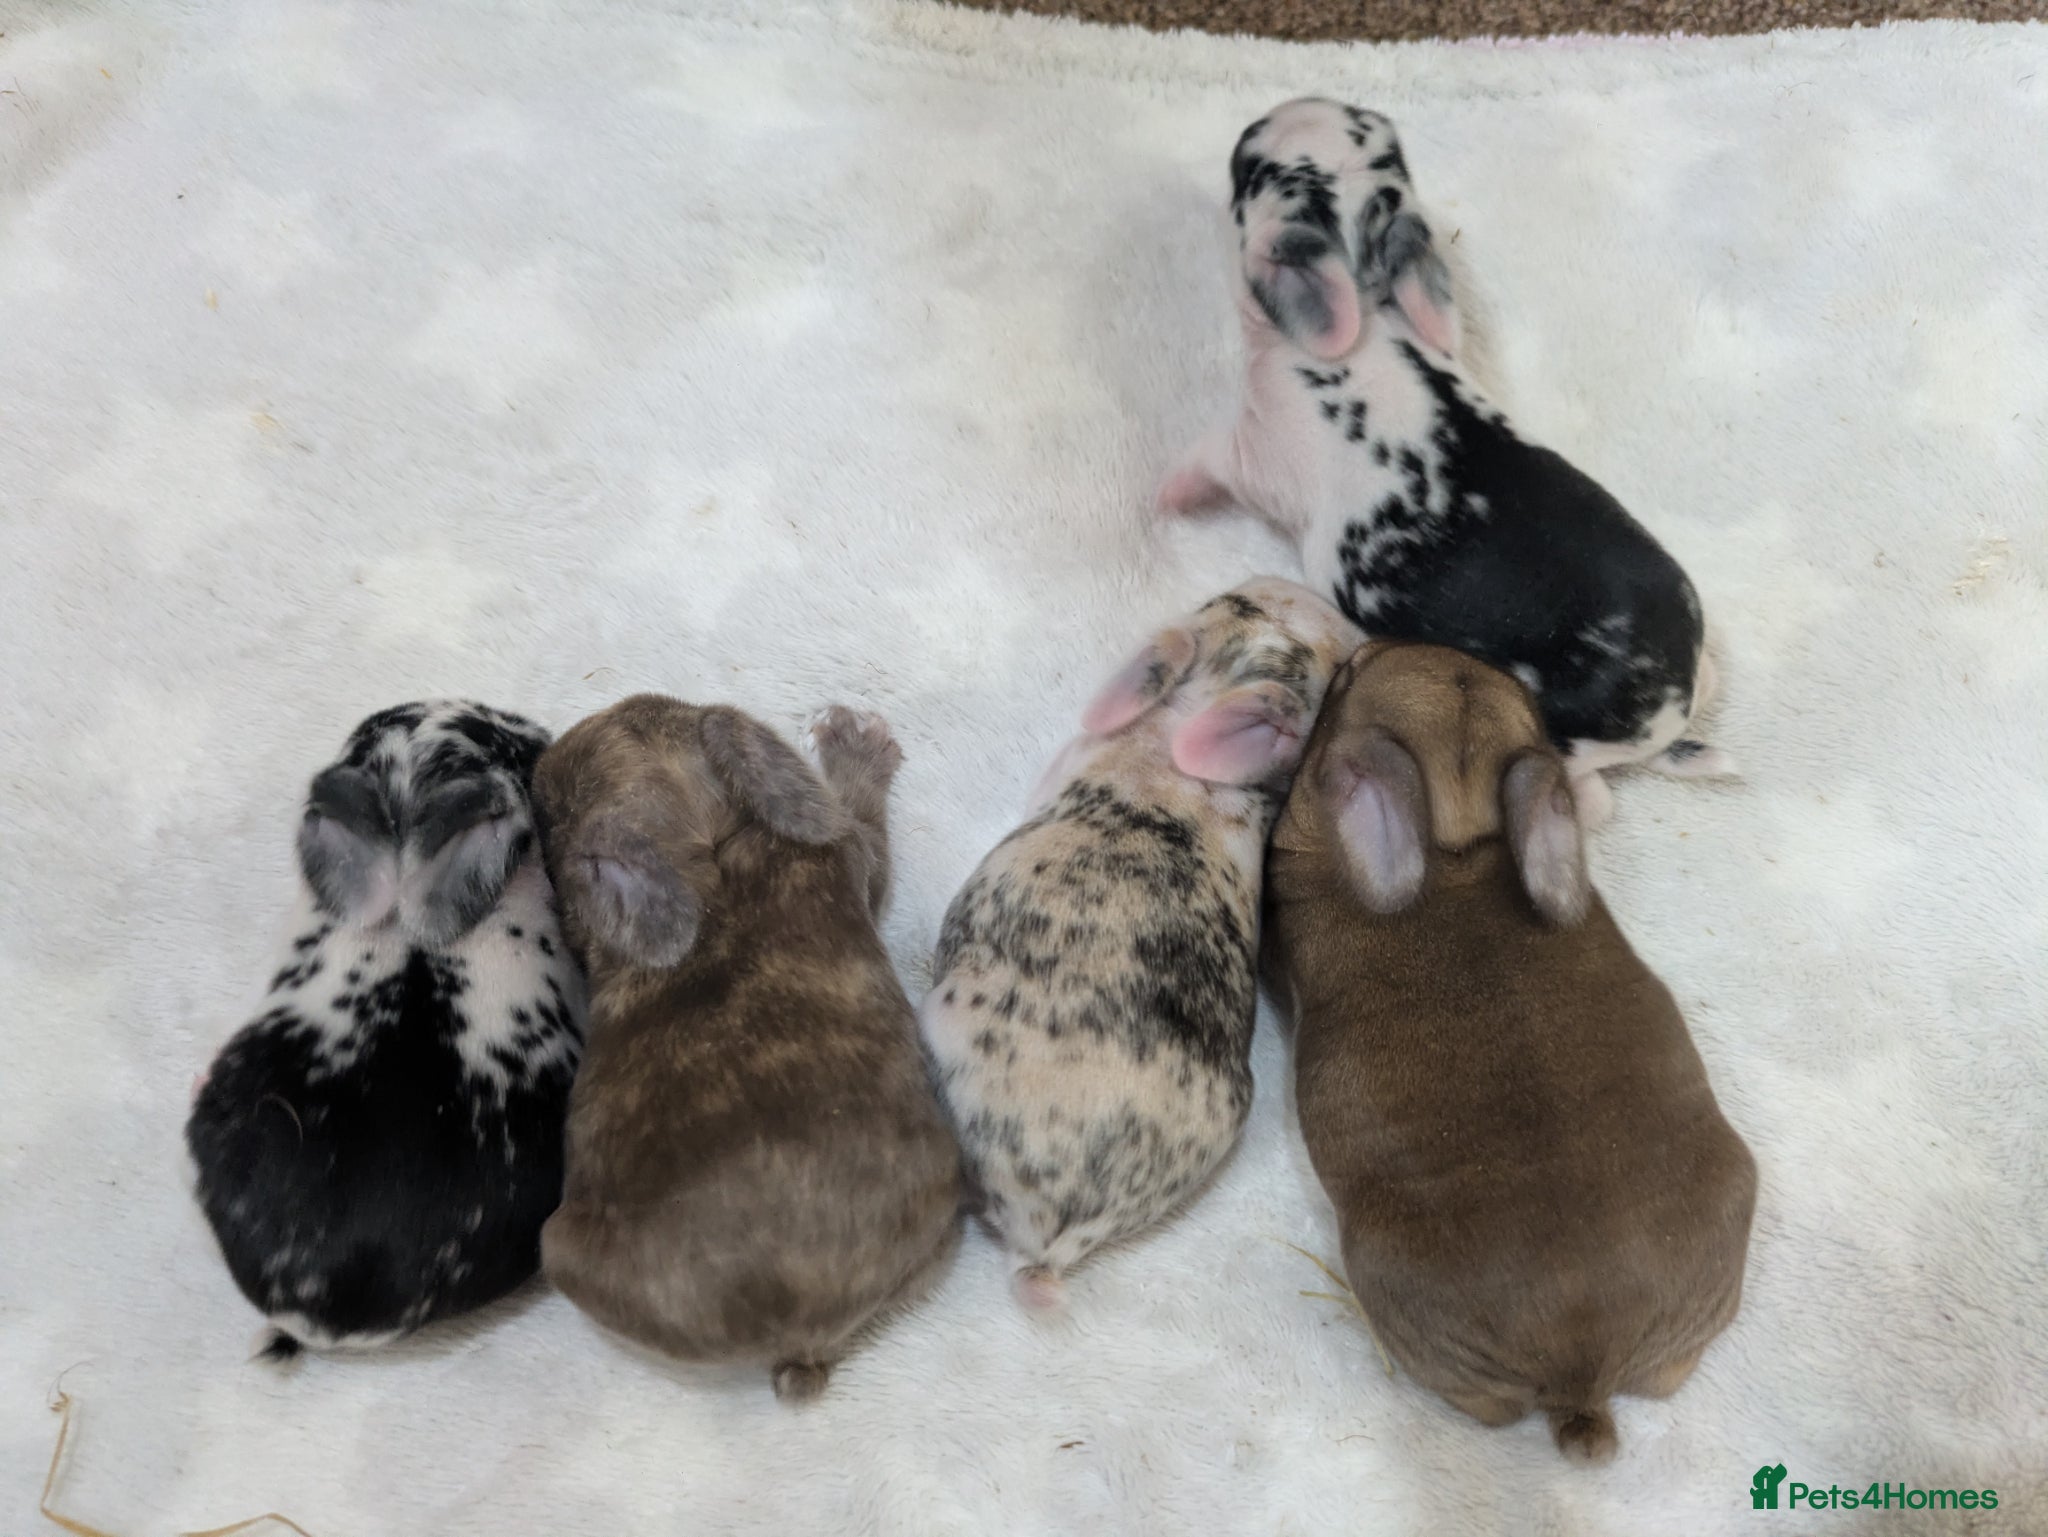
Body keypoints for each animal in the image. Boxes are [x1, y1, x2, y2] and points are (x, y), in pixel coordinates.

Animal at [1159, 97, 1733, 827]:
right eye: (1381, 138)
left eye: (1256, 169)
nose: (1268, 116)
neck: (1369, 314)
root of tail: (1670, 707)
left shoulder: (1253, 444)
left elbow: (1205, 458)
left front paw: (1160, 499)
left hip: (1561, 735)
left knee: (1596, 798)